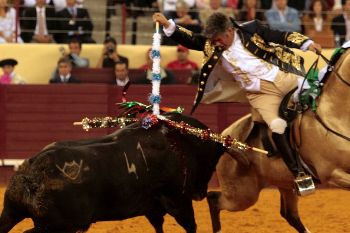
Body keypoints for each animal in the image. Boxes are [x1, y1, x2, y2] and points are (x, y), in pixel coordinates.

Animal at [0, 112, 224, 231]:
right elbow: (190, 225)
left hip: (11, 212)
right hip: (56, 227)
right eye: (213, 162)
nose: (200, 194)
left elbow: (158, 225)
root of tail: (32, 174)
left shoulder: (153, 208)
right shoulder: (178, 201)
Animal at [206, 47, 350, 233]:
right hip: (242, 195)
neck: (334, 114)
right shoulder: (332, 173)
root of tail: (224, 137)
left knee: (290, 215)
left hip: (285, 183)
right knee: (213, 199)